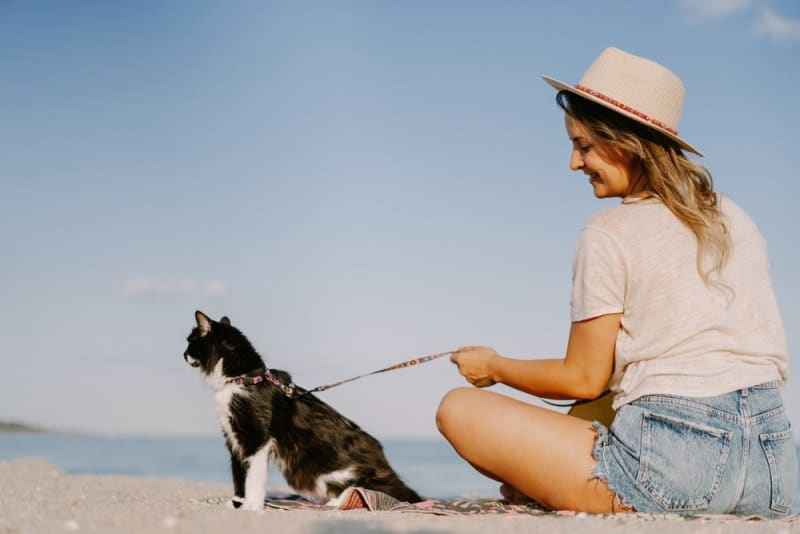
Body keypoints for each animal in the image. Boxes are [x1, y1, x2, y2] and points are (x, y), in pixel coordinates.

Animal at [180, 312, 418, 512]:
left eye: (191, 342)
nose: (182, 355)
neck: (243, 378)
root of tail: (384, 463)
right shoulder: (233, 438)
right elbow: (238, 475)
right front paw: (236, 504)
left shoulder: (256, 438)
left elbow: (253, 477)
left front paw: (252, 506)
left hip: (324, 472)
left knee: (366, 490)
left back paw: (334, 503)